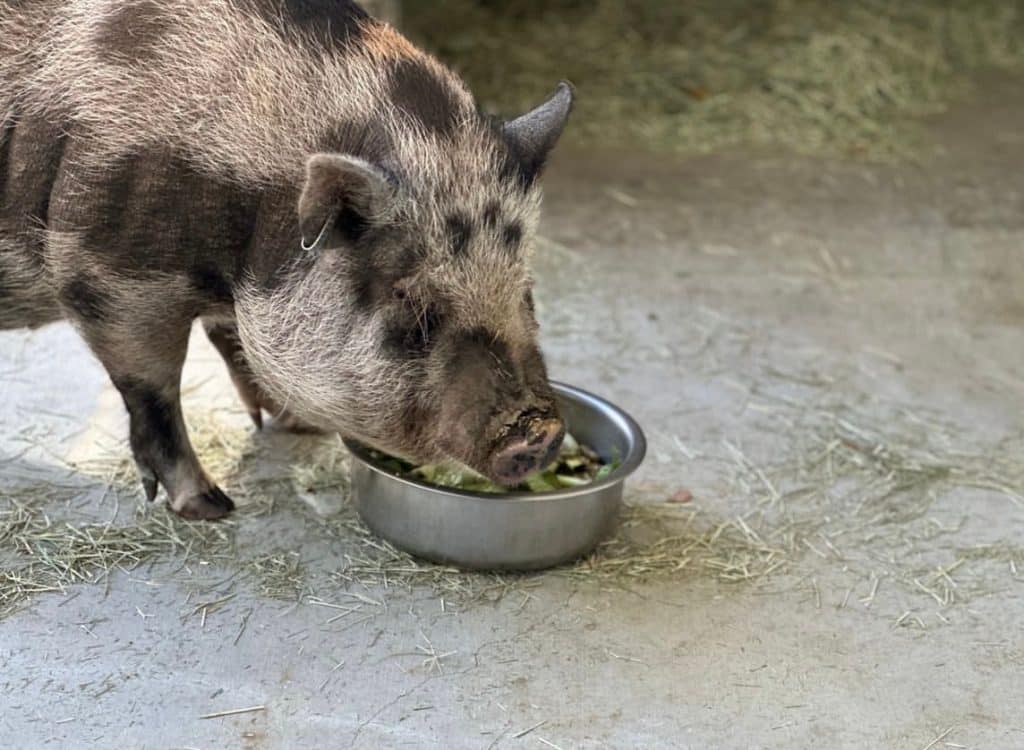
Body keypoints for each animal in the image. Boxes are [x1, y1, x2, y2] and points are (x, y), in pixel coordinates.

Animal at [0, 0, 573, 519]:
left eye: (525, 289)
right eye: (412, 300)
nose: (541, 431)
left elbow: (232, 340)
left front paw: (301, 424)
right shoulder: (108, 274)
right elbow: (154, 390)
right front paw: (211, 507)